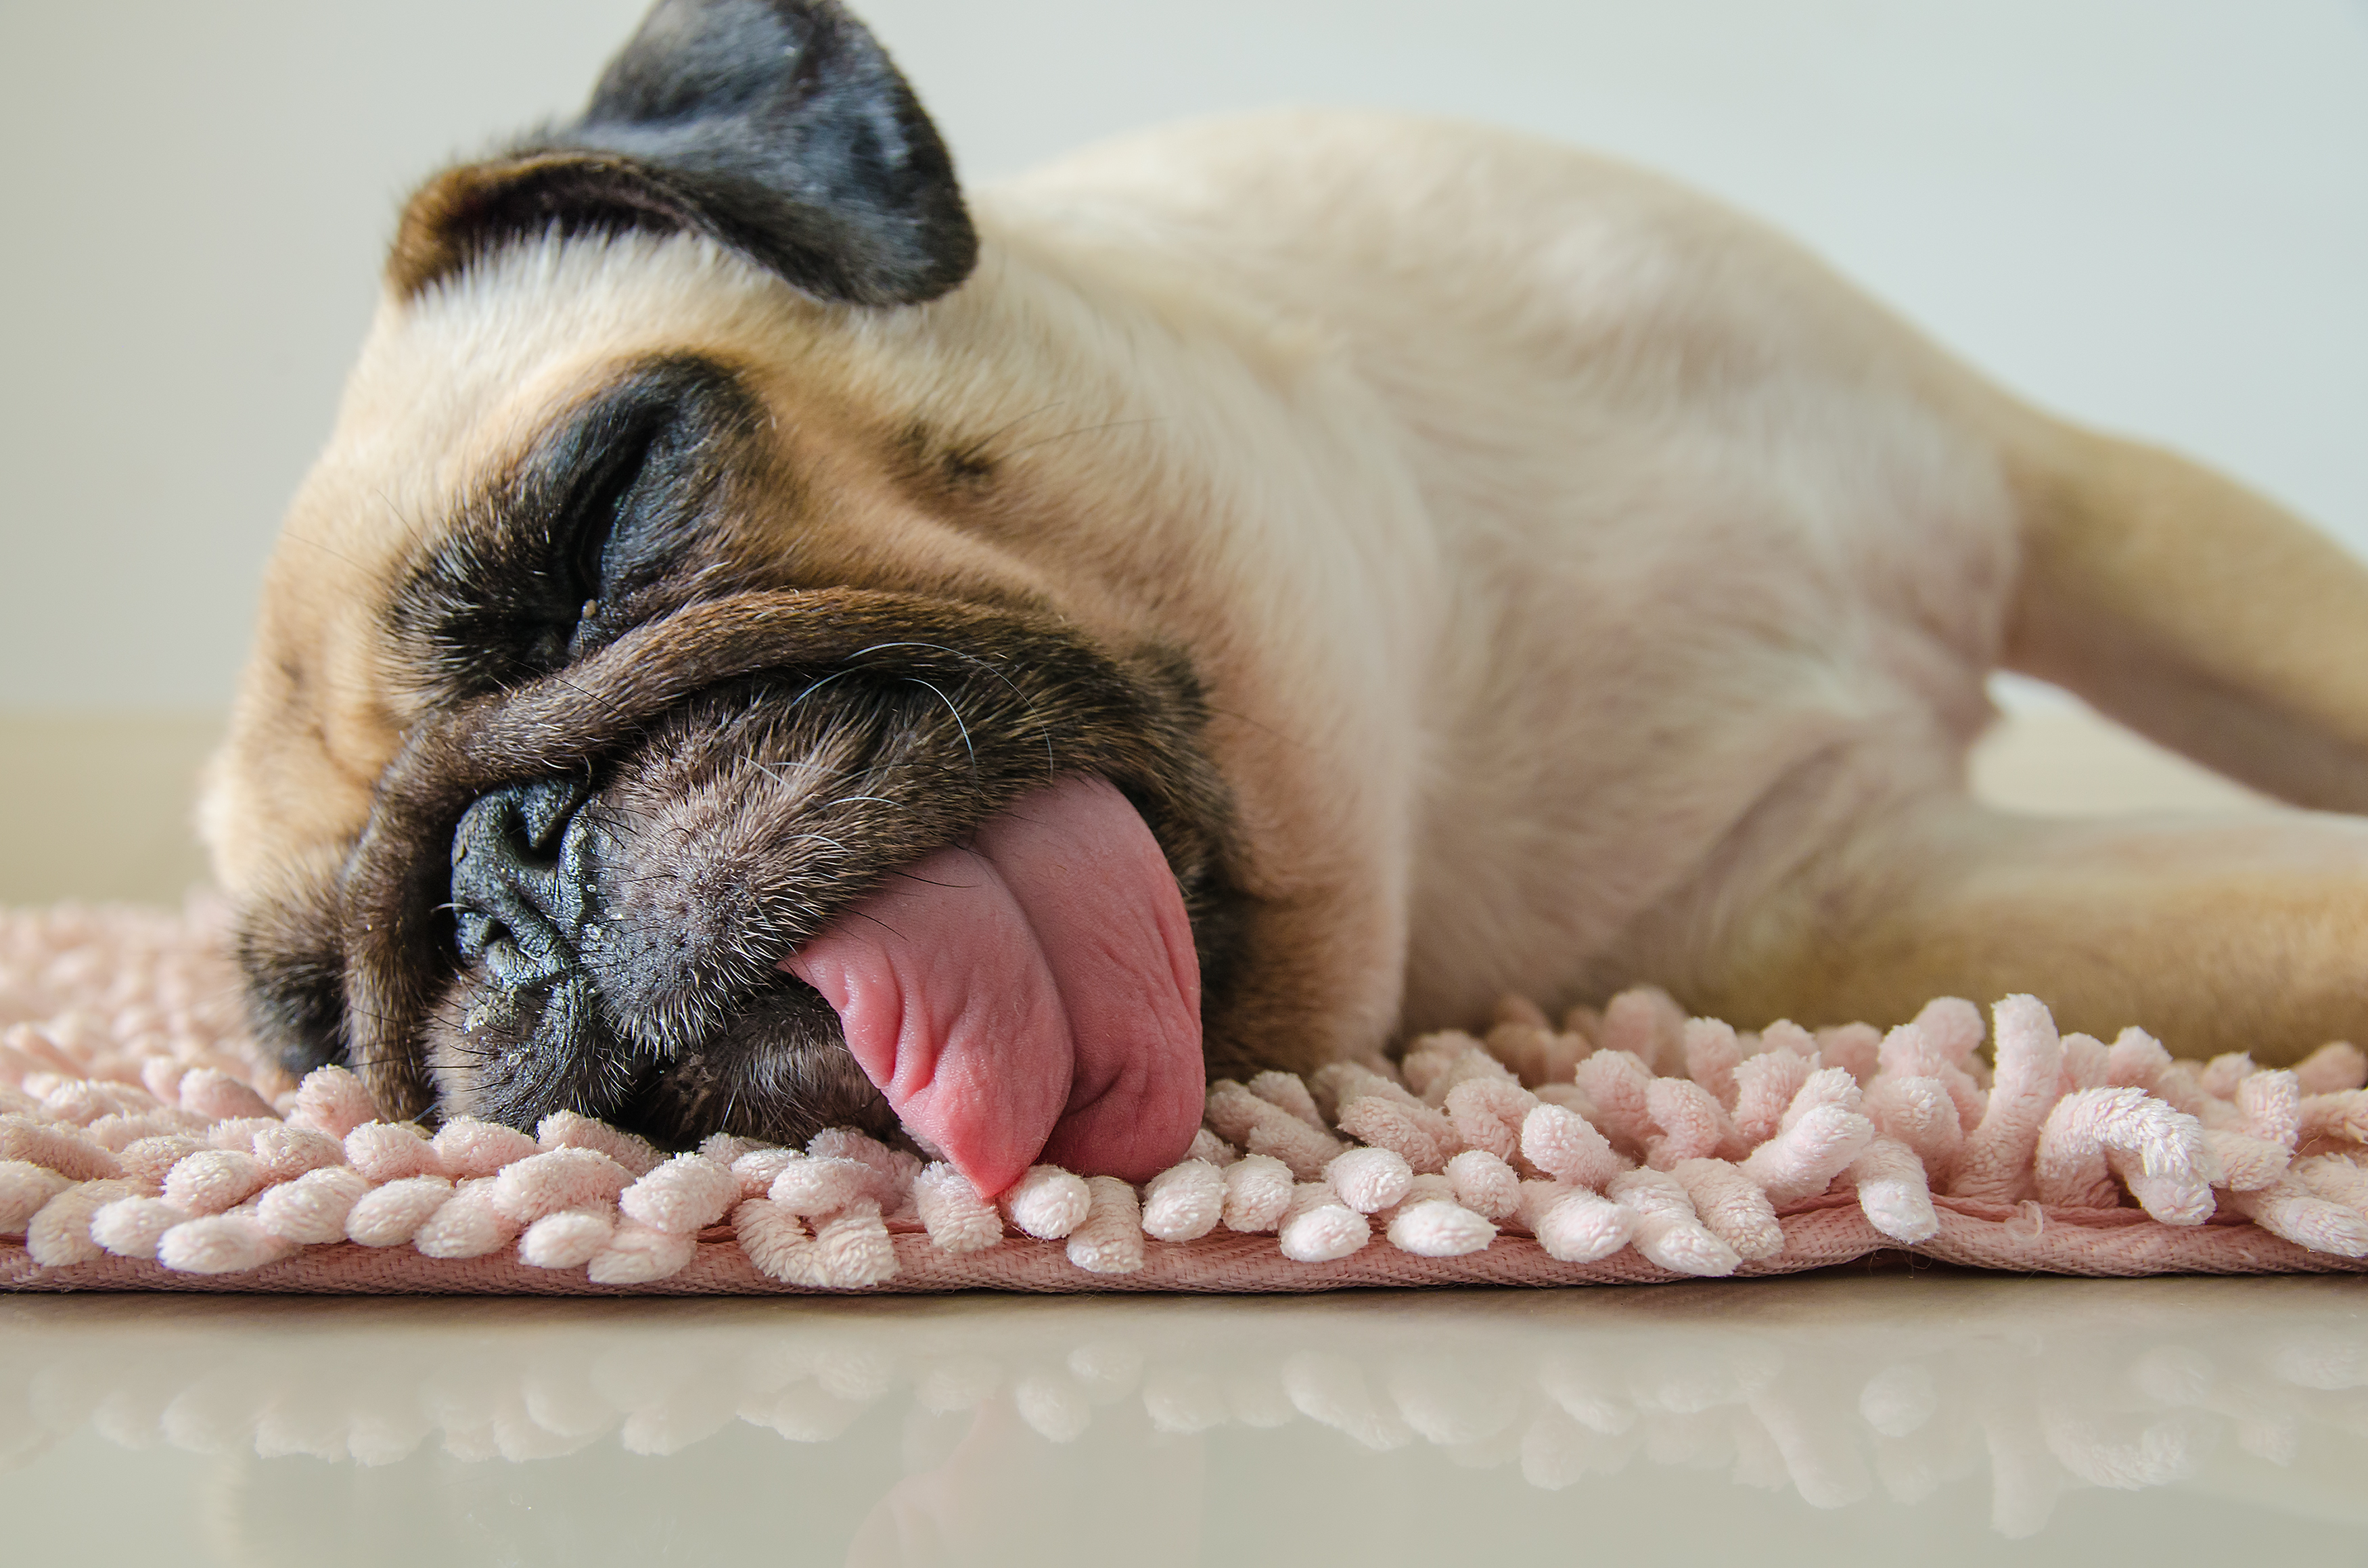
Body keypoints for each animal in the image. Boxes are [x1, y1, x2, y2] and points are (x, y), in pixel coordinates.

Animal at [199, 0, 2368, 1193]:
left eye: (608, 502)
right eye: (317, 1033)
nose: (503, 870)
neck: (1441, 611)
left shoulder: (2061, 491)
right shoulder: (1847, 903)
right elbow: (2301, 915)